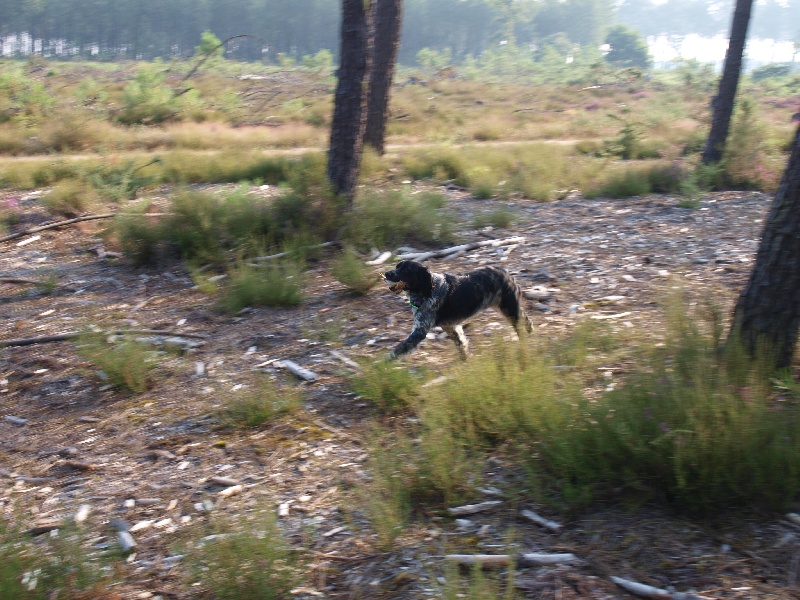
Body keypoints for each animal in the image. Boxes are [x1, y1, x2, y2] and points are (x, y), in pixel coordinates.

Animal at [382, 258, 532, 360]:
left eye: (406, 270)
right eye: (397, 266)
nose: (387, 273)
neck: (427, 289)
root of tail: (505, 272)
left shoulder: (419, 331)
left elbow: (397, 351)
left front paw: (381, 367)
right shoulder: (451, 327)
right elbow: (462, 346)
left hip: (510, 310)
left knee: (521, 328)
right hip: (507, 308)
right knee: (526, 318)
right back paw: (530, 330)